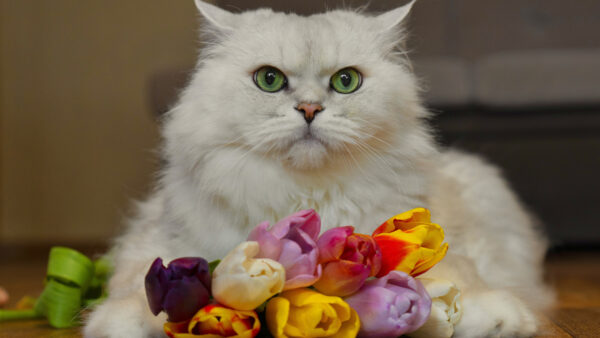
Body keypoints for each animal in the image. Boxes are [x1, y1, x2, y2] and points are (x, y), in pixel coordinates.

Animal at [84, 1, 552, 336]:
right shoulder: (160, 246)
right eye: (269, 80)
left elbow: (462, 279)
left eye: (346, 82)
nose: (309, 109)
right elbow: (137, 292)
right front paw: (121, 321)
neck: (306, 200)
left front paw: (494, 317)